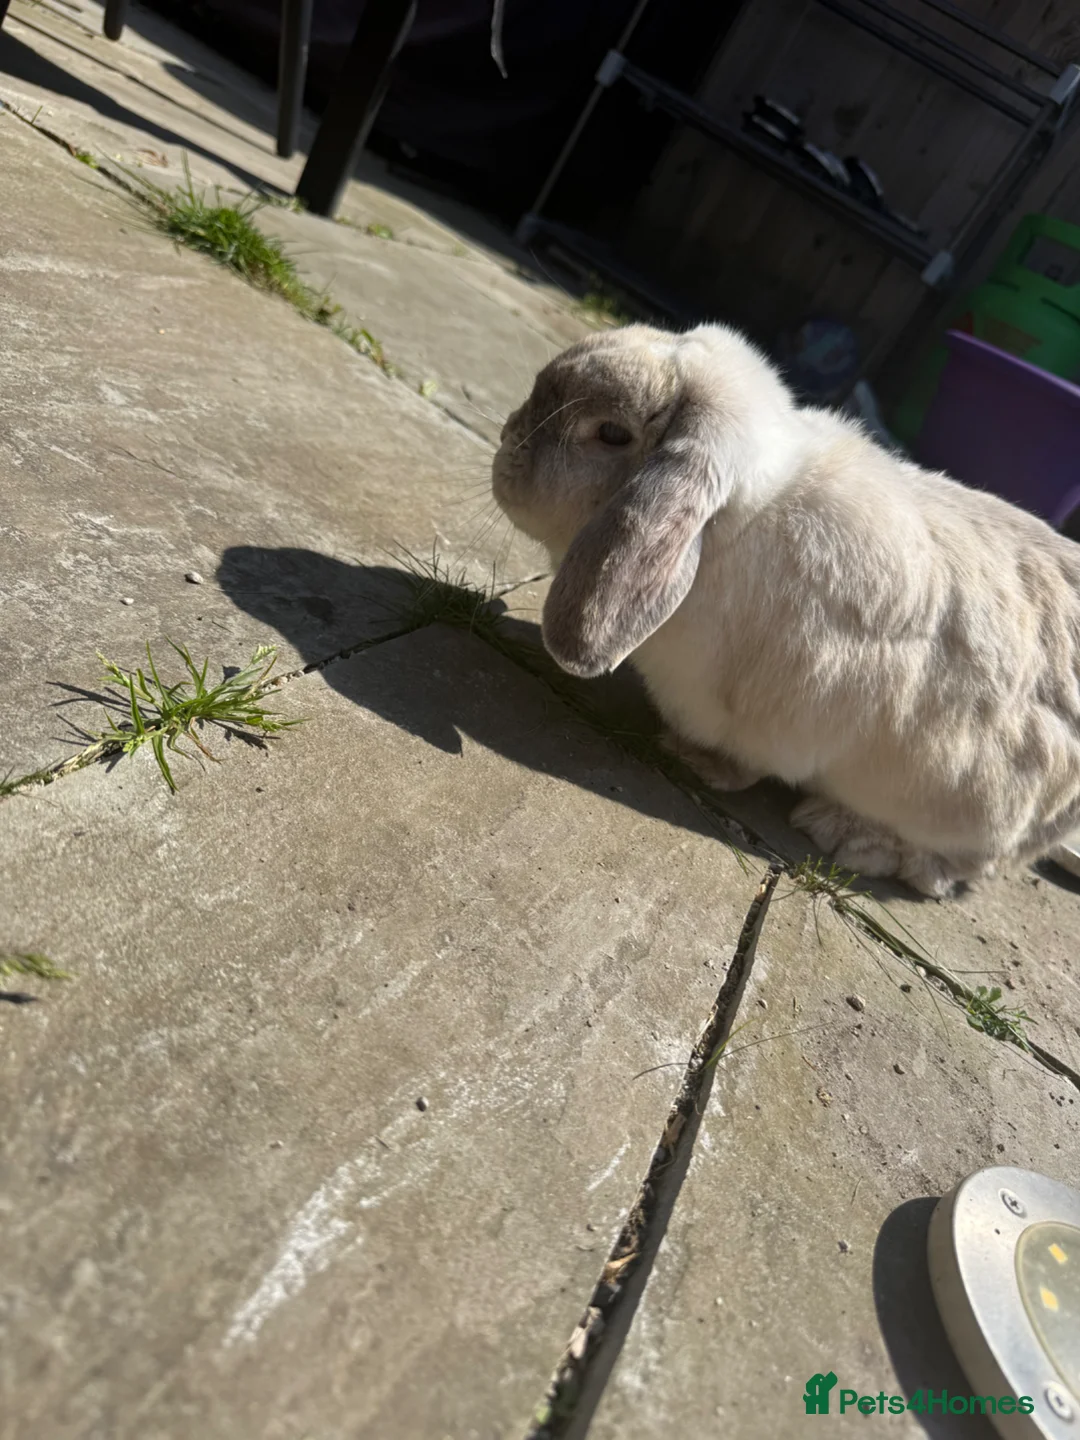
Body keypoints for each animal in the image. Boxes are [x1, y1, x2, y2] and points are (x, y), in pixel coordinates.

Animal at [491, 321, 1080, 897]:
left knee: (957, 867)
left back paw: (847, 834)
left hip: (974, 806)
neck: (734, 529)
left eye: (611, 433)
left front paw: (697, 760)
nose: (507, 439)